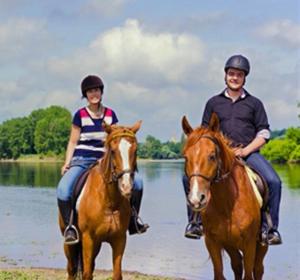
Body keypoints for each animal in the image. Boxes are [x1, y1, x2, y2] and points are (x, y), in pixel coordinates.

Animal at [59, 120, 142, 280]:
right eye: (113, 151)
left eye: (135, 151)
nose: (126, 186)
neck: (109, 201)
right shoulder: (88, 239)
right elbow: (86, 275)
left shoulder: (119, 239)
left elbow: (117, 274)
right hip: (71, 244)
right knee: (71, 270)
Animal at [182, 114, 268, 280]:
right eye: (186, 158)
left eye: (212, 156)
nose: (196, 199)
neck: (227, 204)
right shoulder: (213, 242)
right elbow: (219, 274)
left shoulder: (249, 244)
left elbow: (249, 275)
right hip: (231, 246)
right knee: (237, 265)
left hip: (261, 245)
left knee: (258, 269)